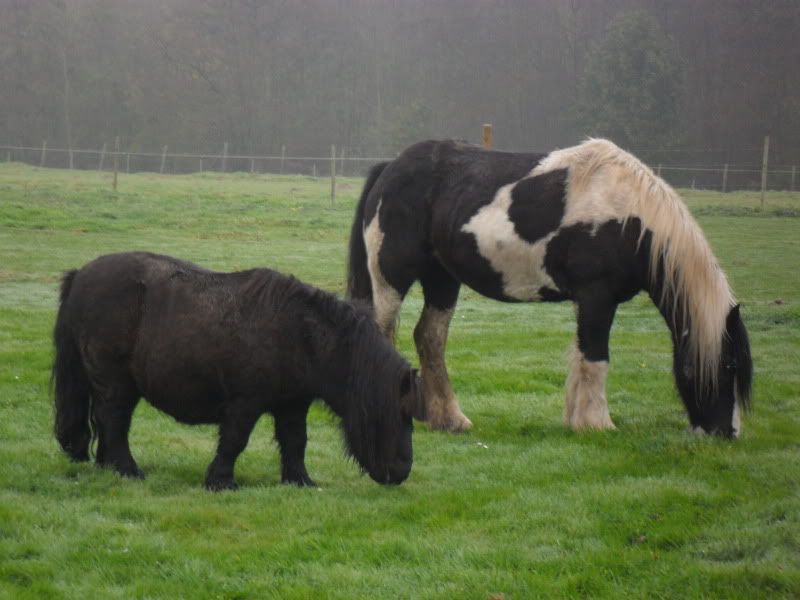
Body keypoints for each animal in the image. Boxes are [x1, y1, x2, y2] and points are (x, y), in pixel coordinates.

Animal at [51, 251, 424, 490]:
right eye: (402, 415)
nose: (403, 471)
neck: (301, 335)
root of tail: (80, 274)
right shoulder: (245, 403)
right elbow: (234, 440)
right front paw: (220, 481)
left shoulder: (293, 405)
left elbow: (295, 442)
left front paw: (300, 481)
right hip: (115, 384)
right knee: (114, 422)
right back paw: (128, 471)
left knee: (106, 423)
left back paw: (109, 467)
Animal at [346, 138, 752, 436]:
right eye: (729, 365)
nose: (728, 433)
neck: (629, 217)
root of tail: (390, 168)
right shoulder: (597, 297)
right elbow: (596, 358)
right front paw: (598, 424)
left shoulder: (587, 302)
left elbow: (580, 356)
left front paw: (576, 420)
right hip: (392, 279)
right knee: (385, 334)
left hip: (442, 280)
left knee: (430, 338)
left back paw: (449, 419)